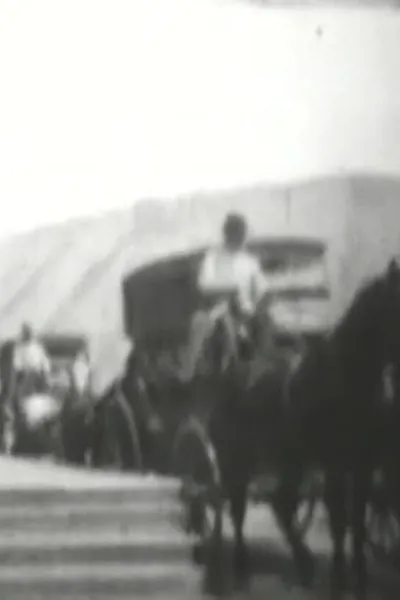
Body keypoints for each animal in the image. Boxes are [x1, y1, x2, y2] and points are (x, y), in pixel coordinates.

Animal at [199, 258, 400, 600]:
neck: (345, 379)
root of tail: (230, 373)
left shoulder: (363, 467)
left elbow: (358, 524)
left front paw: (358, 581)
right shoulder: (334, 466)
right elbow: (339, 522)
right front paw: (338, 582)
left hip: (290, 461)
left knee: (282, 503)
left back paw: (303, 563)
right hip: (235, 460)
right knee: (234, 507)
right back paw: (239, 568)